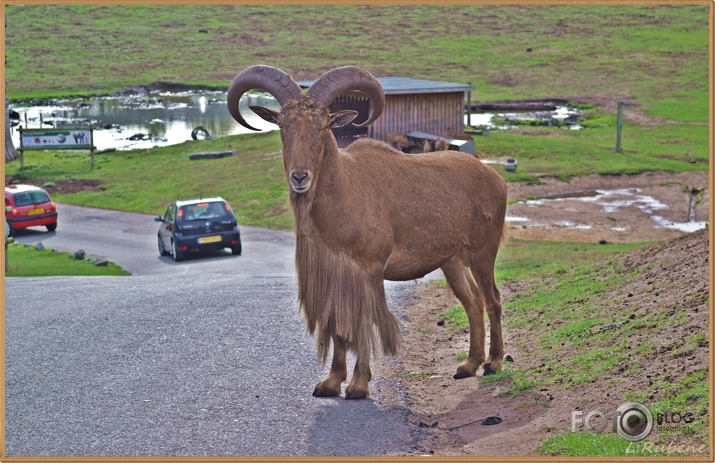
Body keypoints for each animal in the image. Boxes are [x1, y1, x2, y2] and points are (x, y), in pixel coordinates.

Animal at [229, 64, 510, 398]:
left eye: (324, 126)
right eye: (283, 125)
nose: (300, 177)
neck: (345, 194)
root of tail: (495, 177)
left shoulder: (369, 270)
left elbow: (363, 321)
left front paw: (358, 384)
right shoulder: (335, 274)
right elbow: (338, 325)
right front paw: (331, 382)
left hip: (483, 252)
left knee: (493, 300)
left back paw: (494, 363)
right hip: (452, 261)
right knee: (473, 302)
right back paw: (469, 364)